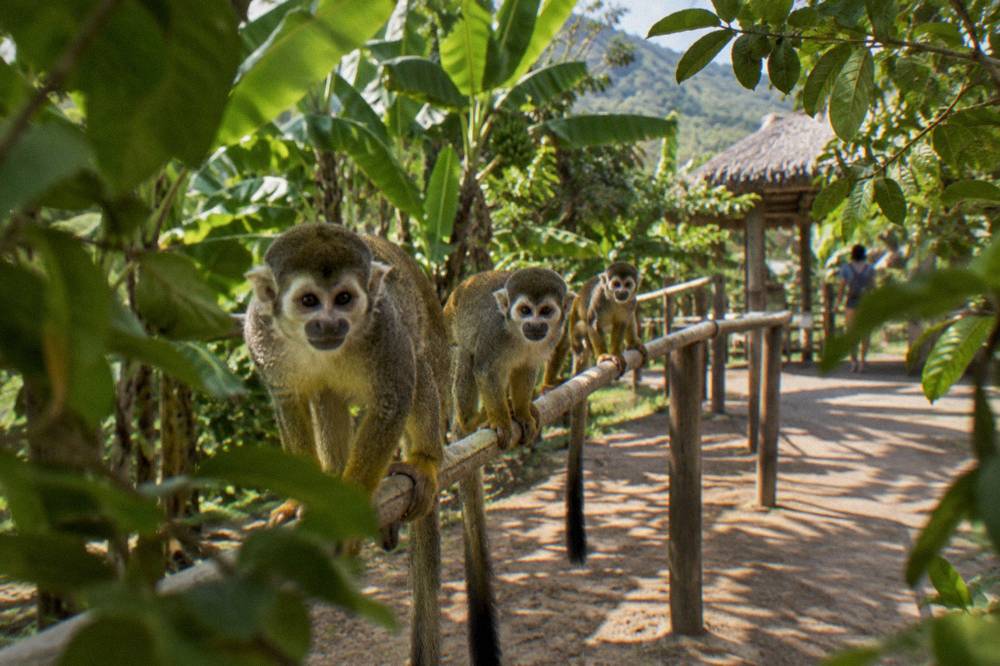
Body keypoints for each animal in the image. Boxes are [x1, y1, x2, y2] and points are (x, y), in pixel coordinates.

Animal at [243, 223, 448, 666]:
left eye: (344, 299)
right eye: (308, 301)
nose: (329, 323)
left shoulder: (384, 327)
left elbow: (394, 395)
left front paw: (345, 508)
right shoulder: (259, 332)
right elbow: (290, 401)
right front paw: (302, 499)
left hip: (436, 357)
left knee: (418, 365)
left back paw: (424, 459)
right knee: (327, 395)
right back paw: (332, 477)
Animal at [444, 267, 571, 666]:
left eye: (546, 311)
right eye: (524, 310)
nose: (535, 325)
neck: (517, 335)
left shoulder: (552, 335)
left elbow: (526, 369)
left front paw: (524, 413)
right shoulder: (493, 334)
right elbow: (485, 369)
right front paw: (500, 420)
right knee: (464, 358)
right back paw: (474, 420)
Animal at [541, 261, 647, 564]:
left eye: (626, 284)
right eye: (614, 284)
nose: (621, 291)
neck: (613, 301)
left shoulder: (630, 301)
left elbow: (622, 323)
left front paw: (618, 350)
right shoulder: (599, 300)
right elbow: (594, 324)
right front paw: (605, 356)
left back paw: (633, 343)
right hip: (573, 324)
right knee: (570, 338)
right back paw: (550, 381)